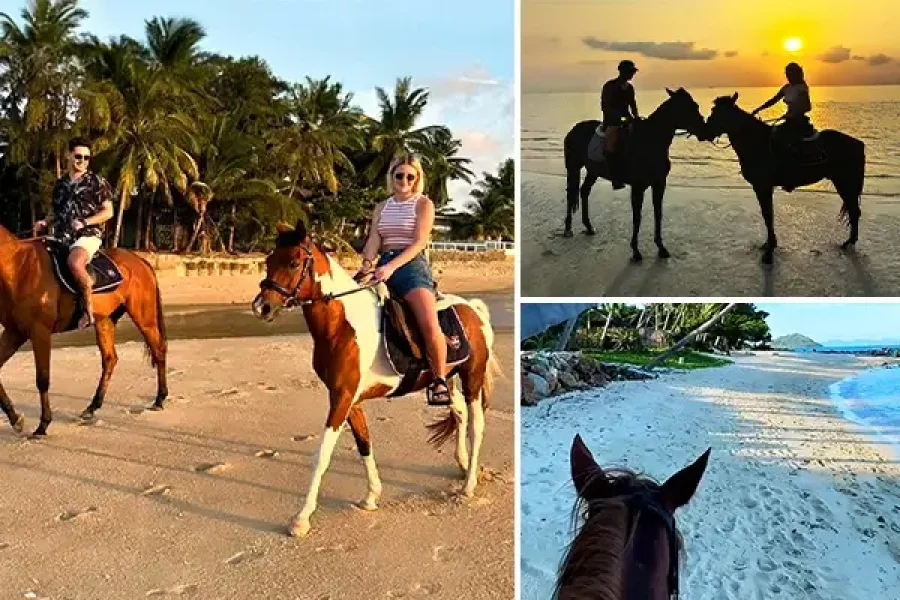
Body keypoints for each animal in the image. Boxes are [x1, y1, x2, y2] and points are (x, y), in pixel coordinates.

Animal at [0, 220, 169, 436]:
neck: (18, 267)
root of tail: (140, 261)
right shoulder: (14, 332)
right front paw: (15, 419)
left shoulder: (39, 332)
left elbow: (43, 378)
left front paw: (43, 425)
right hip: (105, 321)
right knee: (110, 359)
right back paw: (92, 408)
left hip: (144, 318)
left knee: (158, 349)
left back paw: (159, 399)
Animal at [250, 220, 500, 540]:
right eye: (269, 260)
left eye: (294, 262)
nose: (261, 307)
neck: (342, 325)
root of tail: (472, 309)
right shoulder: (348, 399)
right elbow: (364, 444)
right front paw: (371, 496)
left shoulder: (342, 398)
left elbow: (321, 456)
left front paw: (301, 519)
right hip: (447, 379)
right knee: (458, 414)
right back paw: (463, 463)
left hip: (473, 378)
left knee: (476, 425)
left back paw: (468, 485)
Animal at [564, 88, 712, 262]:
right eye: (686, 107)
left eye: (695, 105)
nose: (705, 131)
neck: (650, 141)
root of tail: (574, 129)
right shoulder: (638, 187)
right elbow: (637, 217)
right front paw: (635, 250)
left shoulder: (659, 184)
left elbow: (658, 214)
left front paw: (661, 248)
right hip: (573, 167)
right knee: (570, 194)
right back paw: (567, 229)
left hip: (593, 171)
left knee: (584, 191)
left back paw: (588, 226)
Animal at [704, 92, 864, 264]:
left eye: (719, 112)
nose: (705, 131)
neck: (756, 141)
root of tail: (858, 144)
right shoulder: (761, 187)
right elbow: (767, 214)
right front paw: (769, 244)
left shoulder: (763, 186)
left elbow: (768, 214)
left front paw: (770, 250)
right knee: (854, 210)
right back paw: (849, 241)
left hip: (845, 182)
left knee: (854, 211)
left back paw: (848, 242)